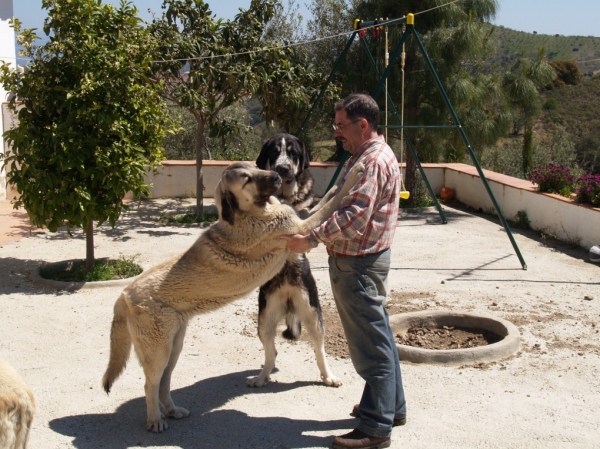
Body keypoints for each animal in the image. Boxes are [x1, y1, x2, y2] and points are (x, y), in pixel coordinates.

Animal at [101, 159, 364, 428]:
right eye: (246, 179)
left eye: (256, 167)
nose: (277, 176)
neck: (250, 213)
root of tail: (124, 294)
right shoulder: (299, 227)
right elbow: (328, 207)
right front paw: (352, 177)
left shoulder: (297, 220)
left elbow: (322, 202)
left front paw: (338, 183)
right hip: (158, 350)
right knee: (150, 384)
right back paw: (155, 420)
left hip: (174, 345)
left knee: (164, 382)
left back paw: (173, 410)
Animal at [247, 132, 340, 384]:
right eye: (274, 153)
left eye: (293, 153)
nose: (283, 169)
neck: (285, 196)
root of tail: (288, 298)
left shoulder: (306, 217)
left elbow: (324, 202)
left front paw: (342, 183)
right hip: (264, 320)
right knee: (271, 352)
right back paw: (261, 377)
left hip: (312, 314)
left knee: (319, 350)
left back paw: (328, 376)